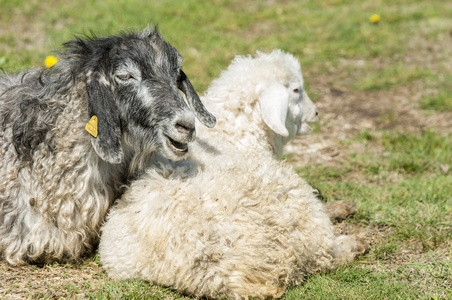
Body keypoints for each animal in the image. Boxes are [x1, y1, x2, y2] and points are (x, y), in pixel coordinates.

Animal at [100, 50, 368, 298]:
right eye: (295, 90)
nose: (316, 113)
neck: (235, 135)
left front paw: (342, 206)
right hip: (296, 210)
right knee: (324, 253)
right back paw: (354, 244)